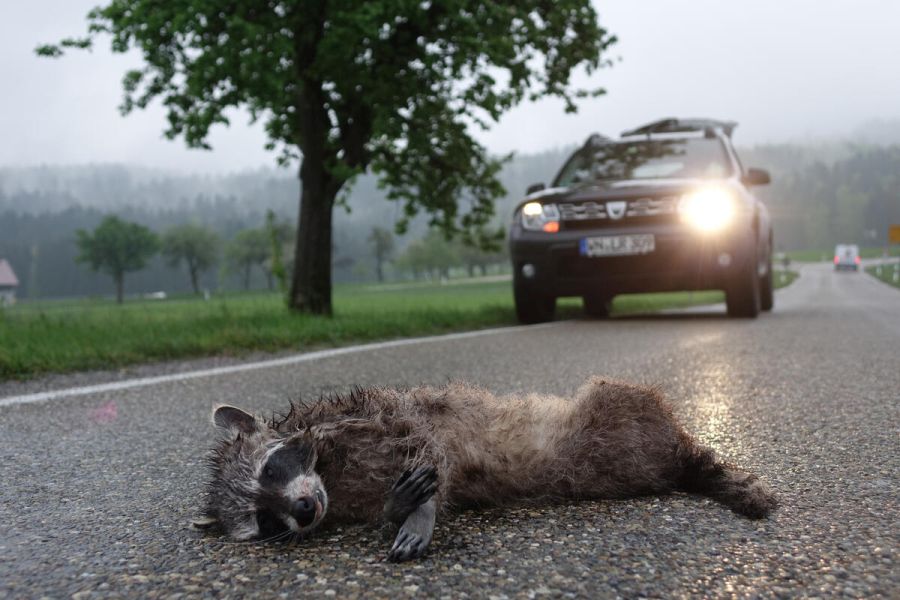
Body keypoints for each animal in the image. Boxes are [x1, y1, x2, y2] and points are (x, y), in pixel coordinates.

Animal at [195, 380, 772, 564]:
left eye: (271, 469)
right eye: (265, 522)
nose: (301, 509)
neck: (331, 481)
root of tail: (676, 453)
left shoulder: (373, 416)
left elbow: (427, 446)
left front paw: (416, 511)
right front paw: (394, 507)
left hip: (622, 407)